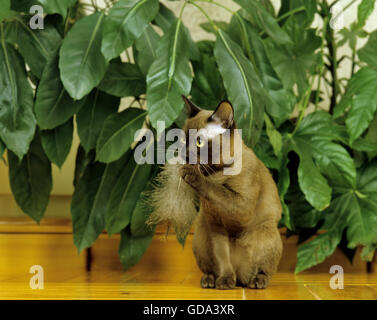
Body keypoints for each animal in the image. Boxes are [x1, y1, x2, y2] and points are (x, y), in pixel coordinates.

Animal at [148, 95, 280, 290]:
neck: (217, 173)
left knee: (263, 271)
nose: (185, 155)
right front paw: (224, 280)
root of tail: (241, 279)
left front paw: (191, 174)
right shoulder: (216, 225)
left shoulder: (241, 207)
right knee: (214, 268)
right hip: (201, 235)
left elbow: (216, 189)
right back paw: (211, 280)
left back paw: (256, 281)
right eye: (183, 141)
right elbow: (222, 258)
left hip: (266, 231)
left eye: (199, 142)